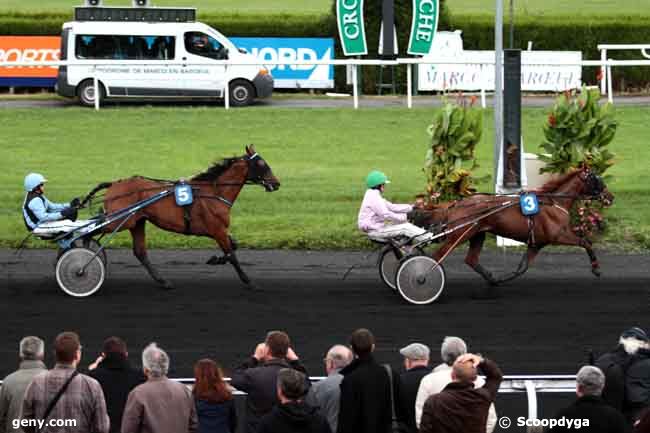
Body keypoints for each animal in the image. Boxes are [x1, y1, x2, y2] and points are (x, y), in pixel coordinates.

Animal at [79, 145, 278, 290]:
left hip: (137, 222)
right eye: (261, 163)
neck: (214, 193)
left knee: (140, 252)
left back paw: (163, 281)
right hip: (120, 221)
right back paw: (83, 263)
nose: (276, 183)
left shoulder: (219, 230)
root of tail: (115, 184)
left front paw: (215, 259)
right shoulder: (217, 230)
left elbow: (233, 247)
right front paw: (249, 282)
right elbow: (232, 254)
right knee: (89, 232)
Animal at [418, 167, 612, 286]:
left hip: (477, 233)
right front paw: (596, 269)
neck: (555, 202)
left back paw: (492, 279)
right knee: (437, 256)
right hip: (460, 234)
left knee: (471, 259)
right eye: (597, 179)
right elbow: (586, 243)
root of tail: (457, 204)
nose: (610, 197)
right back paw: (422, 277)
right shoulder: (558, 235)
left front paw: (502, 278)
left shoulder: (536, 244)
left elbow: (522, 268)